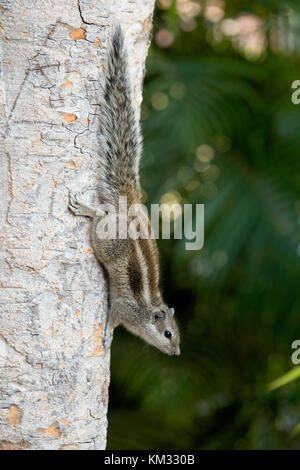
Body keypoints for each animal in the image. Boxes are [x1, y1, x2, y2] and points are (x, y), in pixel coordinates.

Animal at [69, 24, 179, 356]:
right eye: (168, 334)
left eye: (177, 336)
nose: (176, 353)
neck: (146, 312)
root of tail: (128, 205)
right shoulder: (123, 308)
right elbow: (112, 319)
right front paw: (106, 337)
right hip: (108, 240)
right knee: (99, 218)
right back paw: (87, 209)